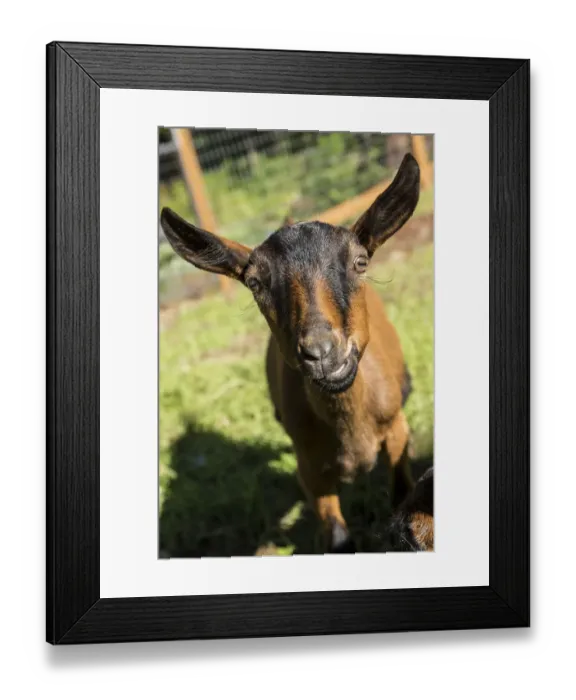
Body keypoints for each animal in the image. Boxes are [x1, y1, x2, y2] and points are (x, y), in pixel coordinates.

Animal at [160, 153, 421, 553]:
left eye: (360, 262)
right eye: (254, 283)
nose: (323, 352)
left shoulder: (396, 433)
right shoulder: (309, 469)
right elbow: (338, 538)